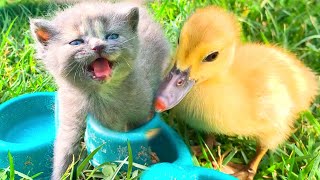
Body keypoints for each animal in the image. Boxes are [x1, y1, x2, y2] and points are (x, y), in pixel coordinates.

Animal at [30, 1, 170, 180]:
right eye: (76, 42)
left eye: (112, 36)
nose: (98, 46)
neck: (101, 94)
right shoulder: (72, 123)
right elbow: (65, 155)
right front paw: (60, 176)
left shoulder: (141, 114)